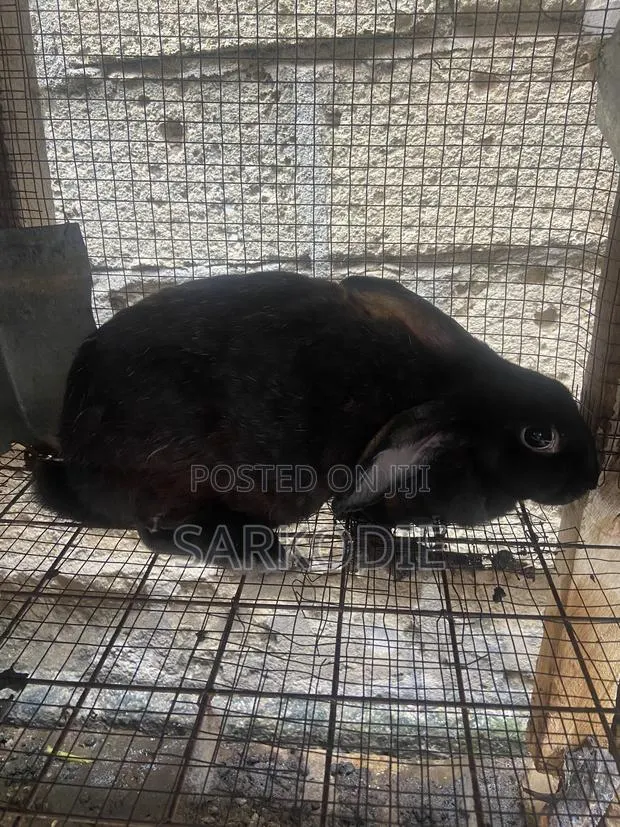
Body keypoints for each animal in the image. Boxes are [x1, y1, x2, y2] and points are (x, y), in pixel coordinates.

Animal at [31, 270, 600, 570]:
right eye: (538, 436)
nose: (592, 479)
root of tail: (78, 467)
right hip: (177, 477)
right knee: (159, 532)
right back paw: (262, 552)